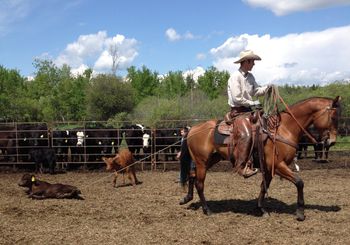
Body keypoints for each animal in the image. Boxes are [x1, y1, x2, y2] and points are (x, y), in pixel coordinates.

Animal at [180, 95, 342, 220]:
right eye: (334, 117)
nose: (332, 141)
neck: (283, 129)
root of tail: (193, 129)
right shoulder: (278, 165)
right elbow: (299, 182)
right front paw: (300, 212)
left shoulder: (269, 168)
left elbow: (264, 187)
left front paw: (261, 209)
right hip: (201, 161)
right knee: (199, 183)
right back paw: (207, 210)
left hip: (212, 159)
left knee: (192, 175)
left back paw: (186, 198)